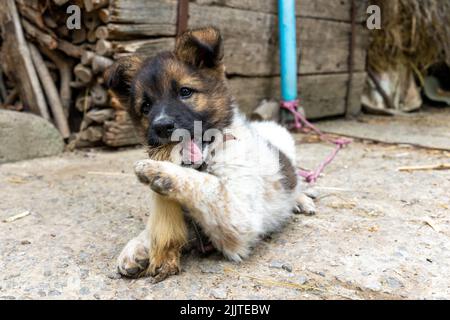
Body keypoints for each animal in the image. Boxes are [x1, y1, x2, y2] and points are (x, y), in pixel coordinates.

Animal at [106, 27, 316, 282]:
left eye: (185, 92)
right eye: (146, 107)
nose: (161, 126)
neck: (210, 156)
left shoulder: (240, 219)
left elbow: (207, 185)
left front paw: (158, 170)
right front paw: (138, 246)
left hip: (285, 141)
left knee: (297, 182)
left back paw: (301, 200)